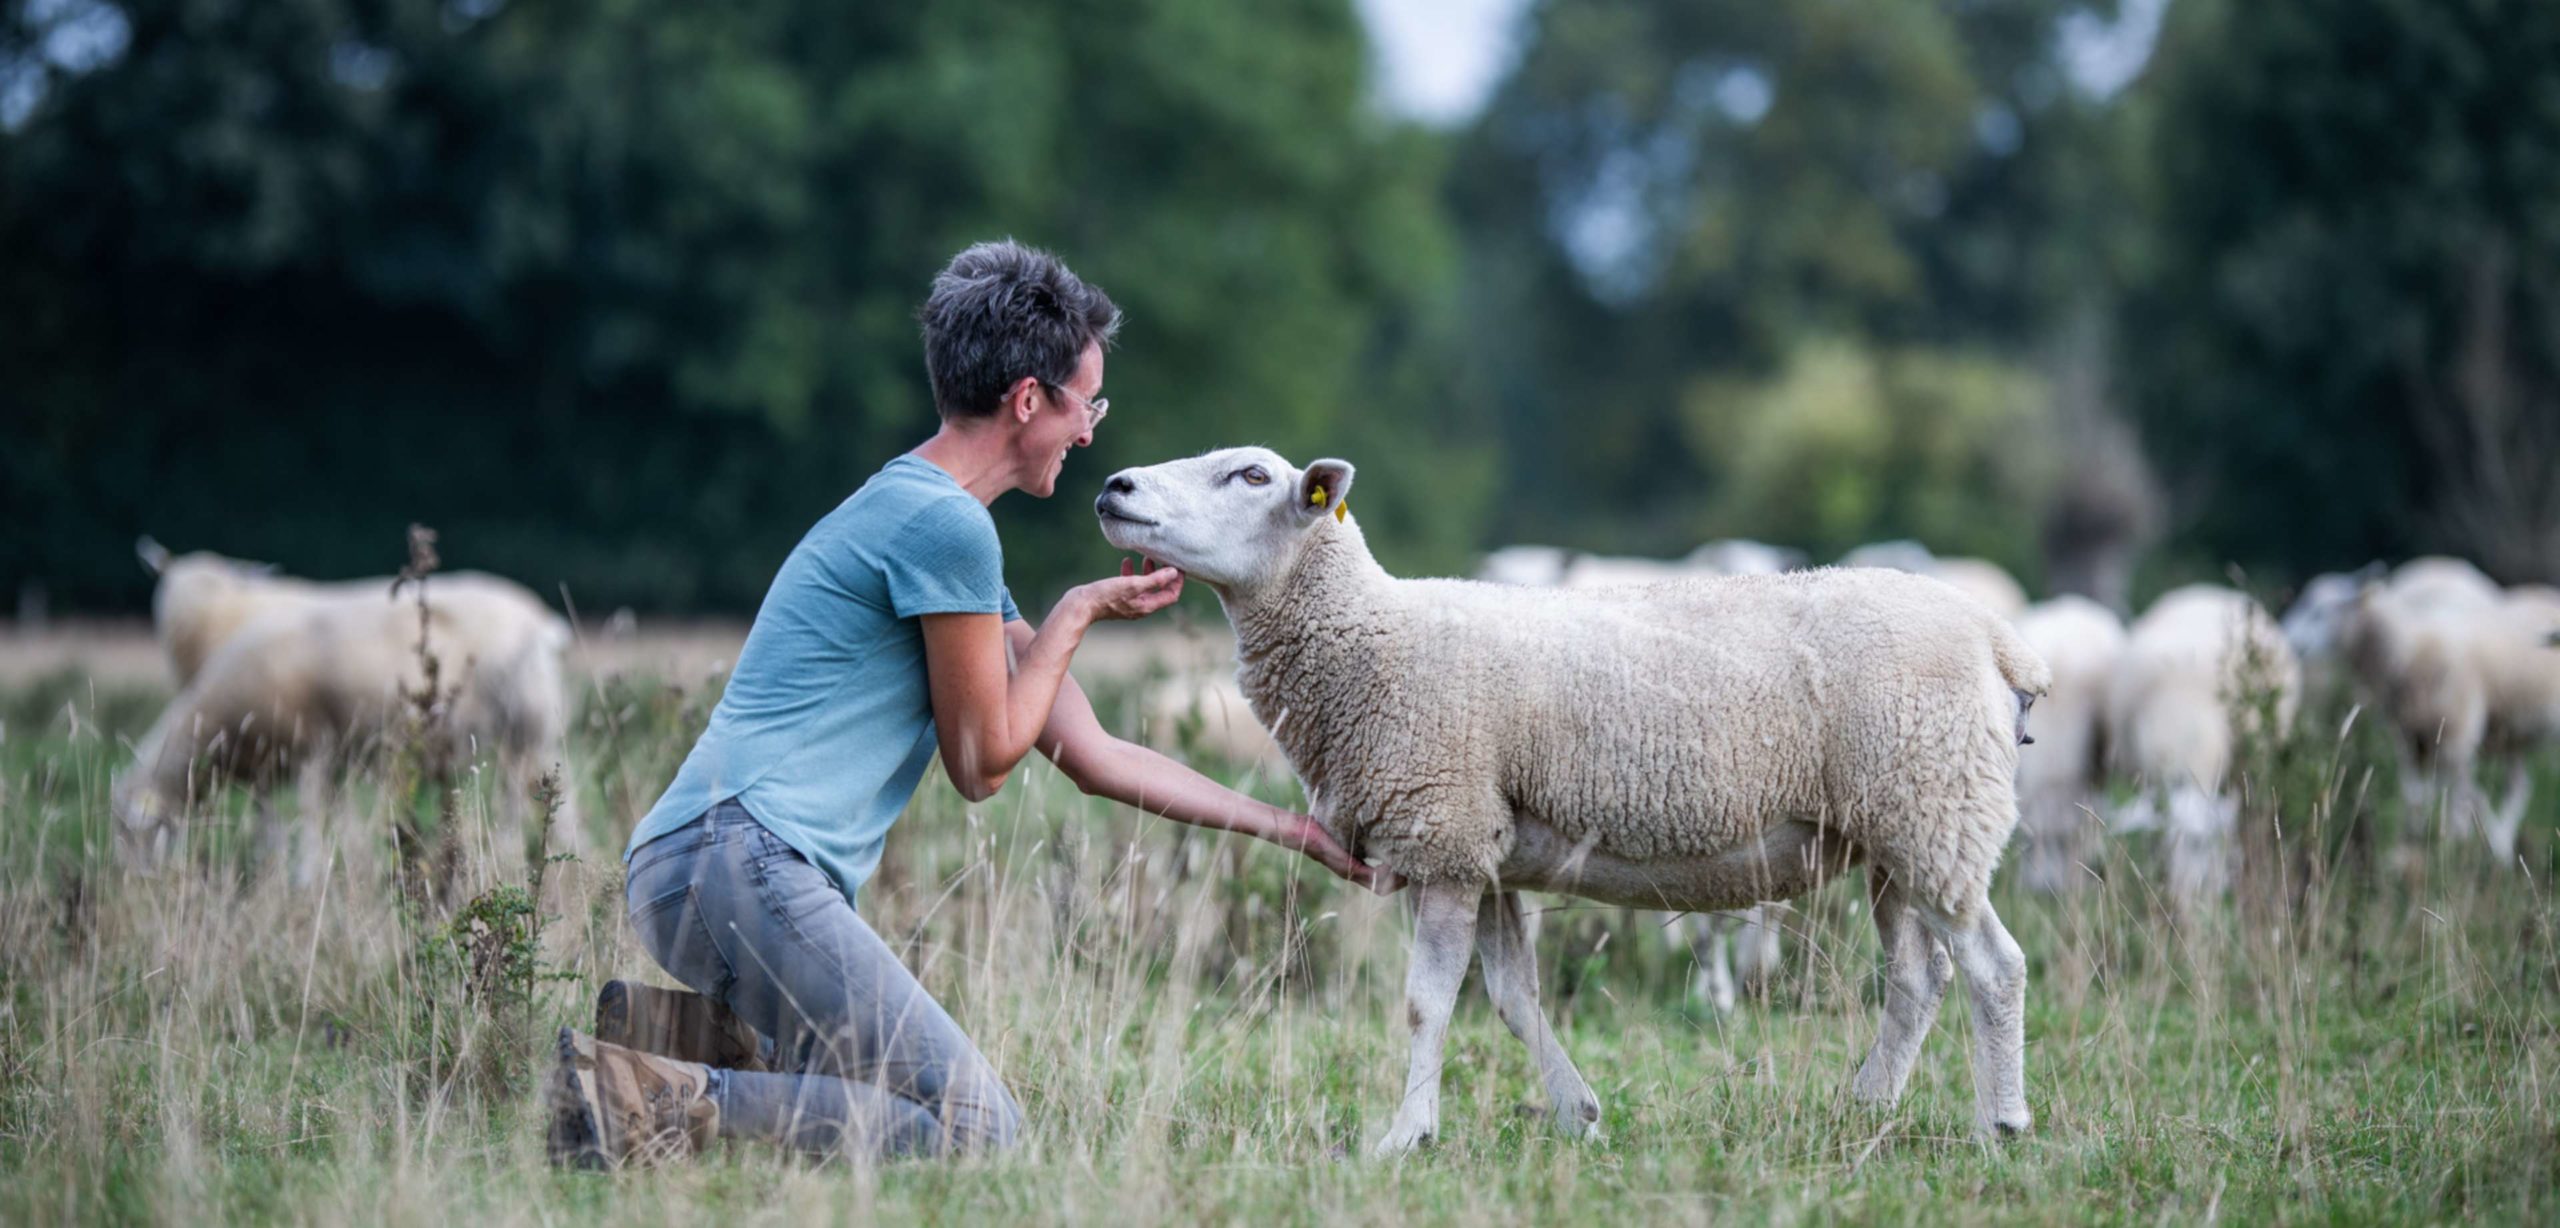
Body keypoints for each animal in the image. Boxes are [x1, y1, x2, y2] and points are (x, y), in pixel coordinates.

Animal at [119, 544, 576, 874]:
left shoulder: (311, 750)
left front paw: (304, 880)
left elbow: (308, 822)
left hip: (519, 735)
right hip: (538, 736)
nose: (134, 885)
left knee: (518, 812)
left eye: (132, 834)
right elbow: (281, 828)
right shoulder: (286, 766)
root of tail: (540, 622)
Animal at [1090, 447, 2048, 1151]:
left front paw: (1405, 1137)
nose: (1113, 486)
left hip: (1933, 804)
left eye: (1252, 476)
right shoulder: (1485, 850)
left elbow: (1426, 1002)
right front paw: (1577, 1113)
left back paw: (2000, 1125)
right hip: (1895, 831)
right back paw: (1868, 1106)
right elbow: (1515, 999)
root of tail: (1997, 637)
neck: (1369, 638)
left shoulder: (1444, 833)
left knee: (1994, 966)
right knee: (1919, 976)